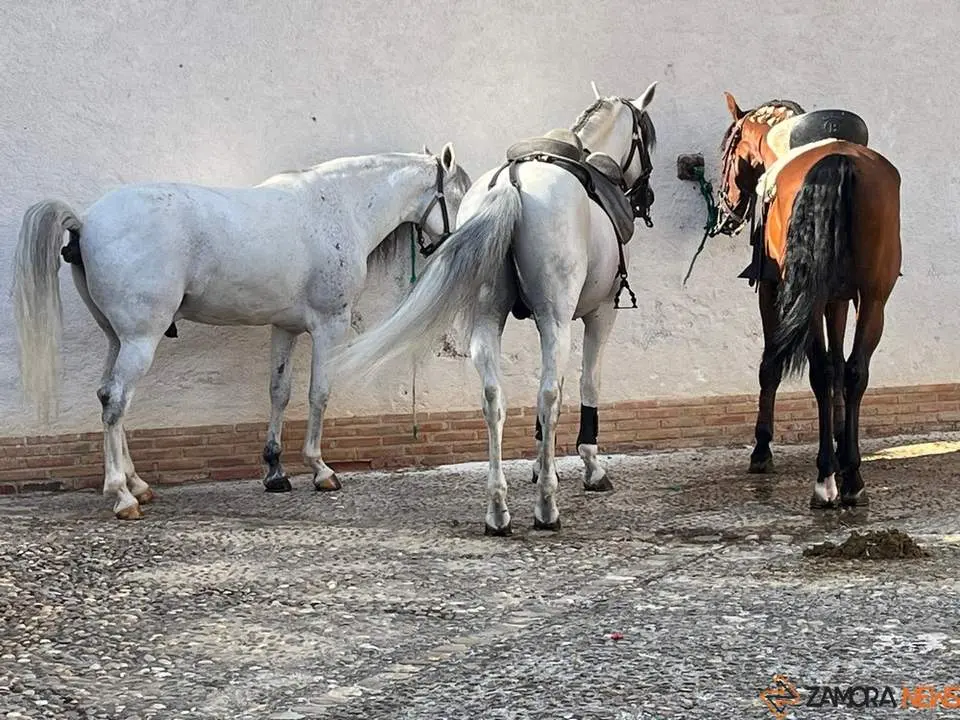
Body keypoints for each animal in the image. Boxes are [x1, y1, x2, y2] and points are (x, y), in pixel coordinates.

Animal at [13, 146, 471, 520]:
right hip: (140, 340)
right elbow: (318, 394)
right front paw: (321, 470)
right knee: (116, 402)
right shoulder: (330, 325)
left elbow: (279, 393)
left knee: (109, 396)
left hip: (116, 338)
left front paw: (275, 471)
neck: (338, 207)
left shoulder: (285, 327)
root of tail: (86, 222)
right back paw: (122, 496)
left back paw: (139, 486)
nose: (455, 243)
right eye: (461, 194)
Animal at [328, 82, 658, 534]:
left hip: (488, 318)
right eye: (647, 136)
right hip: (555, 318)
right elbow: (584, 385)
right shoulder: (596, 315)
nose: (648, 196)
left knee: (492, 398)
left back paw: (498, 510)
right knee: (547, 395)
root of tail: (511, 184)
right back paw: (545, 509)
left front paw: (542, 465)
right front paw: (588, 468)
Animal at [714, 92, 901, 508]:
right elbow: (840, 366)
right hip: (874, 299)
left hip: (810, 299)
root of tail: (840, 158)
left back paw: (825, 478)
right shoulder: (840, 300)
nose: (725, 211)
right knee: (853, 372)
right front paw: (842, 441)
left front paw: (762, 449)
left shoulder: (772, 292)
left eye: (726, 151)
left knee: (821, 372)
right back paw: (852, 477)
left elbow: (770, 365)